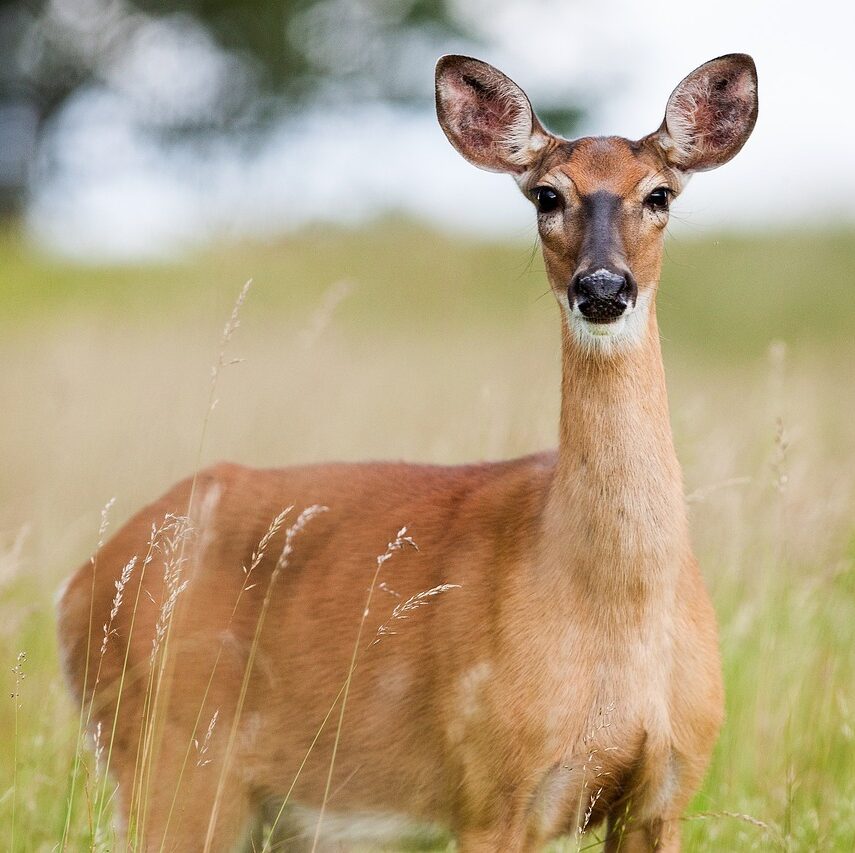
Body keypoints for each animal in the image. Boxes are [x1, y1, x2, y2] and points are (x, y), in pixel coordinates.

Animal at [56, 55, 760, 852]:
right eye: (546, 194)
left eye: (658, 194)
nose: (603, 287)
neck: (614, 608)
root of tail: (77, 586)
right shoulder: (492, 787)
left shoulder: (666, 788)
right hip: (170, 761)